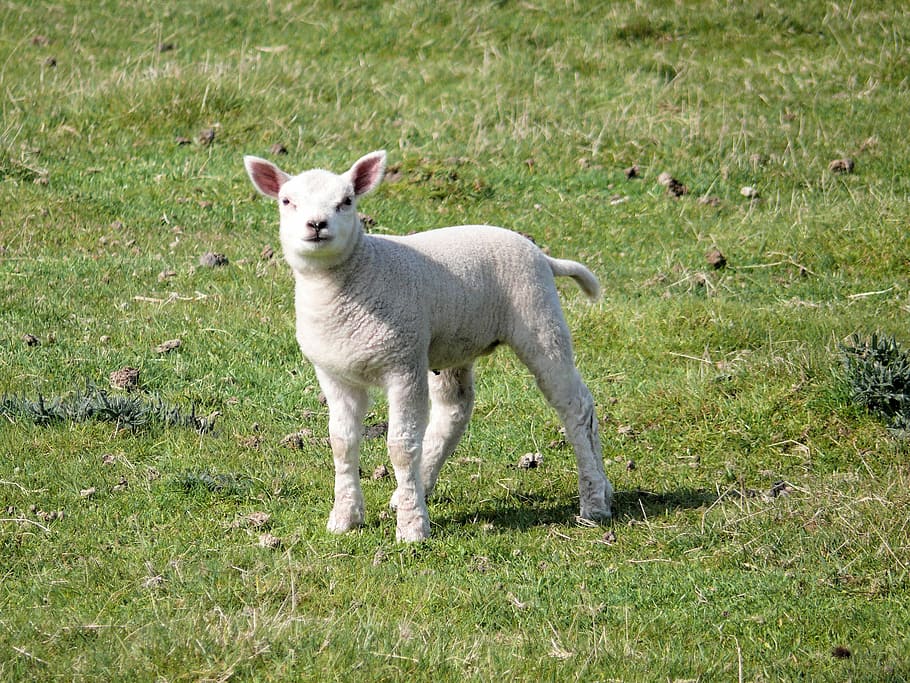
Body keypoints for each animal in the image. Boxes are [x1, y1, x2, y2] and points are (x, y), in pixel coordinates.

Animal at [244, 150, 613, 542]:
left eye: (347, 201)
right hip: (452, 342)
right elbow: (342, 443)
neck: (354, 279)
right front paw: (345, 518)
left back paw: (594, 500)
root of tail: (542, 256)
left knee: (576, 406)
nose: (317, 224)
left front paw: (412, 528)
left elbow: (401, 446)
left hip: (539, 318)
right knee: (455, 409)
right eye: (287, 201)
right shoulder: (334, 374)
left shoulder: (403, 364)